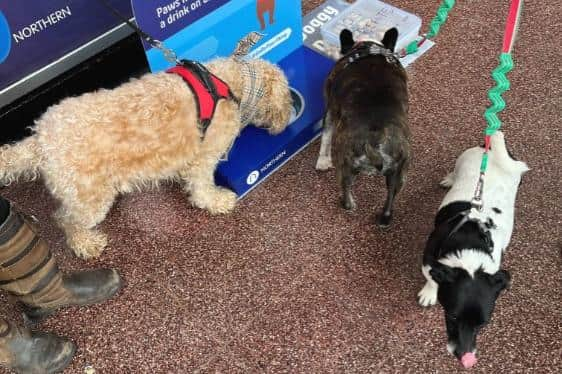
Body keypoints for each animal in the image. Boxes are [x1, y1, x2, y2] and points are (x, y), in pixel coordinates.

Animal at [0, 56, 290, 260]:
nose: (286, 122)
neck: (233, 84)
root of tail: (40, 140)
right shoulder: (203, 158)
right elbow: (202, 188)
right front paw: (215, 201)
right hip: (90, 199)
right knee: (66, 220)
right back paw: (86, 243)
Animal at [312, 27, 410, 226]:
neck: (369, 49)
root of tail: (375, 142)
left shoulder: (331, 110)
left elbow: (325, 136)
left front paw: (323, 161)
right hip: (398, 174)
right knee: (390, 200)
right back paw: (384, 219)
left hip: (345, 164)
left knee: (346, 193)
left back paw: (348, 203)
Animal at [416, 131, 528, 368]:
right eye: (452, 316)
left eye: (483, 324)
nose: (465, 358)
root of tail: (491, 150)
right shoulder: (429, 259)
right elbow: (431, 278)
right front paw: (429, 293)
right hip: (462, 159)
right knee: (454, 170)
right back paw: (449, 179)